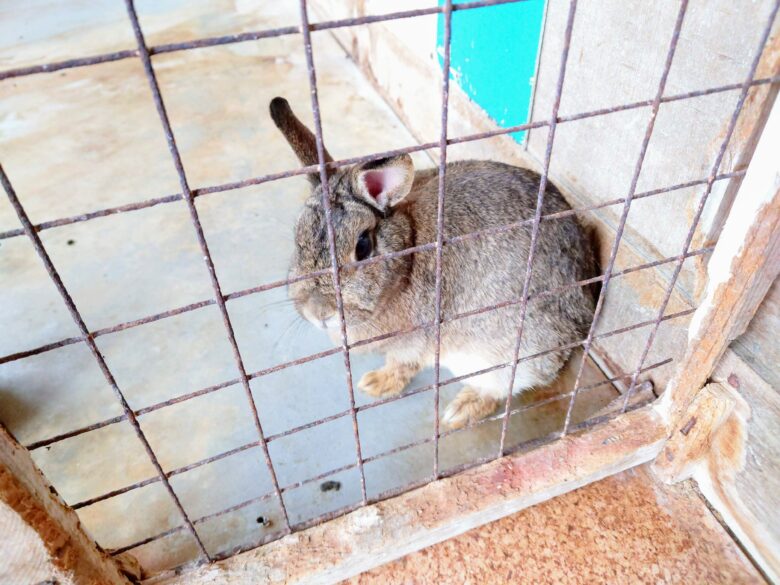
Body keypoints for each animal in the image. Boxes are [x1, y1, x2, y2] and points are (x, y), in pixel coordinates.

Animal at [270, 97, 596, 428]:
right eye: (297, 238)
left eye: (363, 246)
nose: (318, 313)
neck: (408, 255)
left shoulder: (414, 342)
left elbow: (401, 365)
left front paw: (376, 384)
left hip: (511, 354)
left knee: (502, 387)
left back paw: (460, 411)